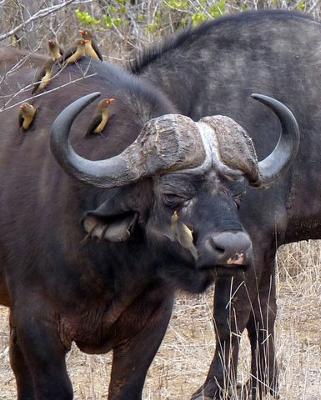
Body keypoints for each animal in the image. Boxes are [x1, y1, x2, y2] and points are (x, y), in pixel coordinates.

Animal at [0, 22, 298, 400]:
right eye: (171, 194)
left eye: (238, 195)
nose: (233, 248)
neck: (110, 267)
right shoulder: (37, 325)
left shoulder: (150, 326)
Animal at [129, 9, 320, 400]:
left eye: (173, 195)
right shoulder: (266, 246)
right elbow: (263, 314)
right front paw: (264, 384)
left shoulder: (249, 238)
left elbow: (229, 316)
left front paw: (216, 386)